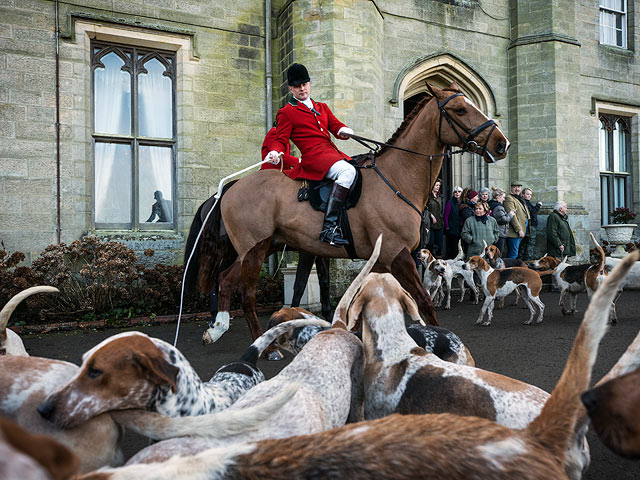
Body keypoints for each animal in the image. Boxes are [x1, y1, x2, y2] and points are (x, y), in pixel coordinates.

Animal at [198, 82, 508, 358]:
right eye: (459, 109)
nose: (501, 143)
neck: (397, 177)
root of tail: (233, 186)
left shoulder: (381, 261)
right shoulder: (398, 255)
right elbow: (424, 302)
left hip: (263, 246)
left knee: (226, 280)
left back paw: (217, 329)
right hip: (255, 248)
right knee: (245, 292)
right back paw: (262, 346)